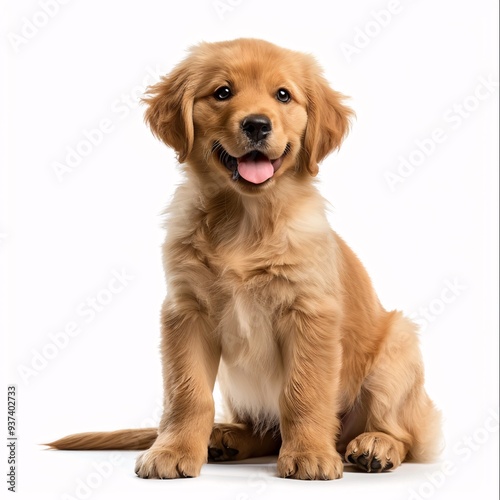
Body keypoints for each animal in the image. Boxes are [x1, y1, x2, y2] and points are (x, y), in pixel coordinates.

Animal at [48, 37, 442, 478]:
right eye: (223, 92)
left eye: (283, 95)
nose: (256, 124)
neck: (245, 219)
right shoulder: (186, 311)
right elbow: (187, 393)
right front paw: (173, 450)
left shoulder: (309, 313)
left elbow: (303, 391)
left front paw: (309, 454)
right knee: (264, 430)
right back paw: (226, 437)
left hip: (398, 346)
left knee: (403, 433)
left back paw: (375, 445)